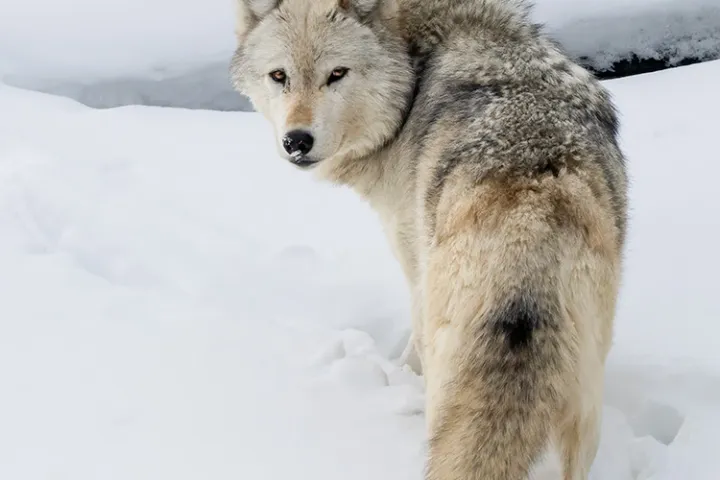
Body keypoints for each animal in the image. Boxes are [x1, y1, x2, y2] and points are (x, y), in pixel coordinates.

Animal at [230, 0, 628, 478]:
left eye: (337, 74)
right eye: (279, 75)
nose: (297, 141)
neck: (416, 58)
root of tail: (530, 227)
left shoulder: (411, 255)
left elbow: (413, 339)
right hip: (584, 417)